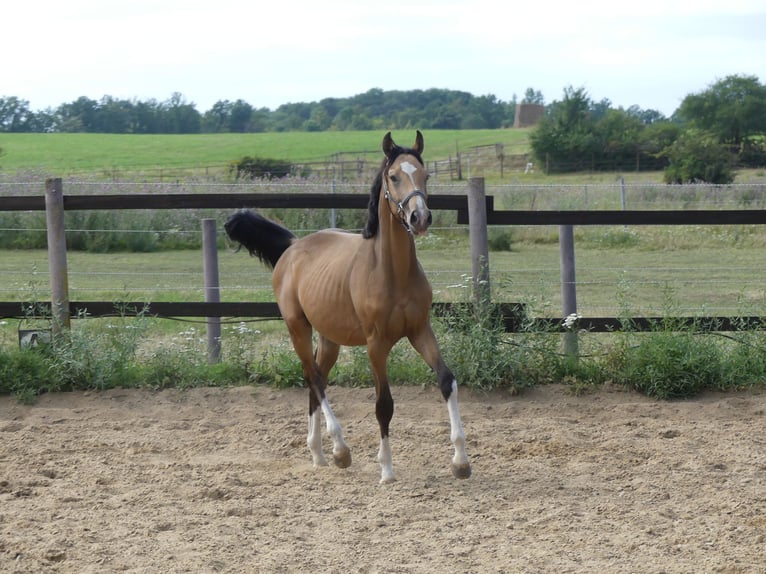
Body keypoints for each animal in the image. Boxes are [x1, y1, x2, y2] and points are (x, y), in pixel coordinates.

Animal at [225, 132, 472, 486]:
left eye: (425, 176)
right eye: (393, 176)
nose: (420, 218)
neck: (391, 271)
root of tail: (292, 248)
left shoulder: (420, 331)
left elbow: (447, 381)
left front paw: (461, 461)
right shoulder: (376, 344)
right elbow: (384, 404)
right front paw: (386, 470)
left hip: (329, 338)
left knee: (316, 381)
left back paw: (318, 454)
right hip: (297, 326)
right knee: (313, 377)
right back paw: (340, 450)